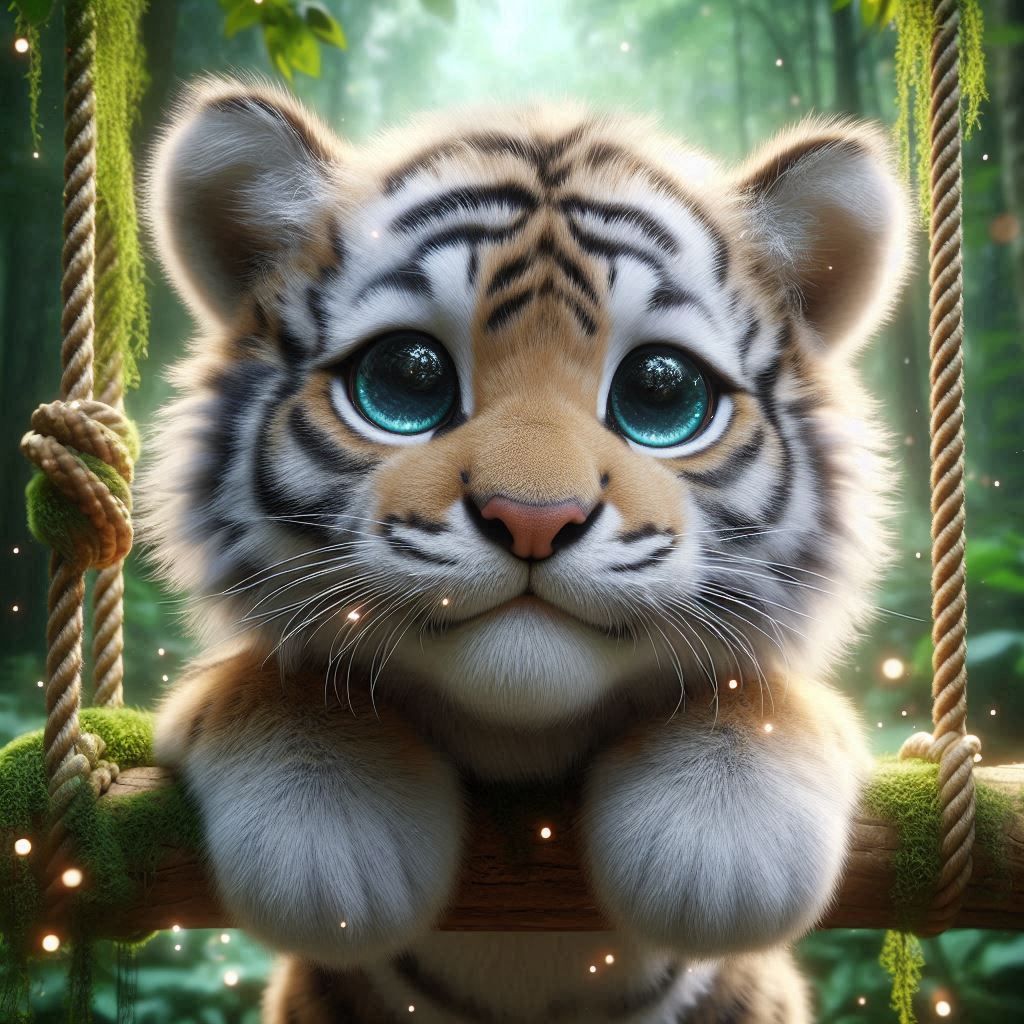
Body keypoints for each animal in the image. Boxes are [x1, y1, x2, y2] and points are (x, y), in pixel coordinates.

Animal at [141, 77, 909, 1023]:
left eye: (662, 394)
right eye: (406, 378)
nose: (535, 519)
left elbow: (753, 689)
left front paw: (730, 830)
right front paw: (323, 808)